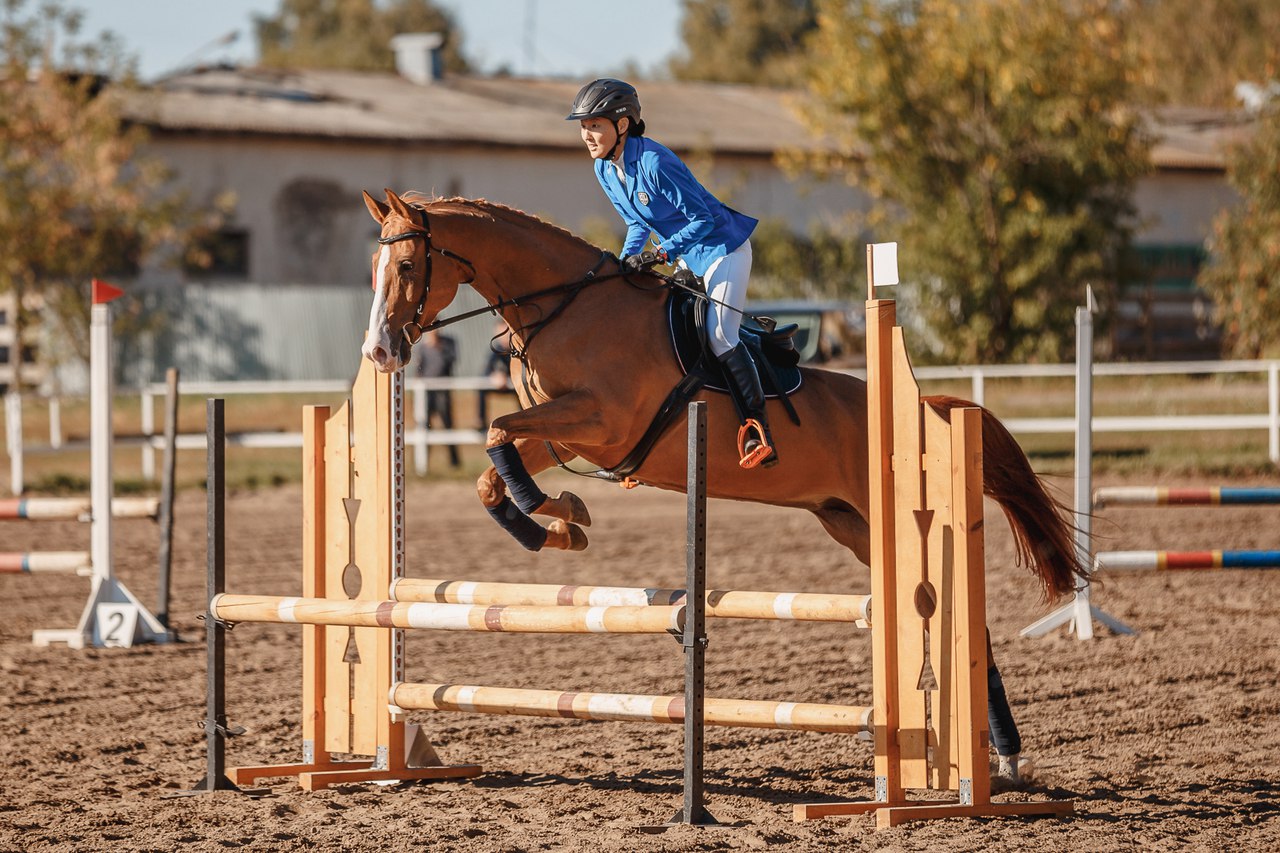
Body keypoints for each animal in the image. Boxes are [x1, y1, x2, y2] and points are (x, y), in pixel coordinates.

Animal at [363, 188, 1090, 601]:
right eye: (373, 266)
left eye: (408, 265)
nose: (379, 352)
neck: (564, 307)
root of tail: (923, 410)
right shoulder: (566, 433)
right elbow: (496, 467)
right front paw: (564, 522)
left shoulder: (601, 423)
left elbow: (496, 434)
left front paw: (561, 510)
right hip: (846, 520)